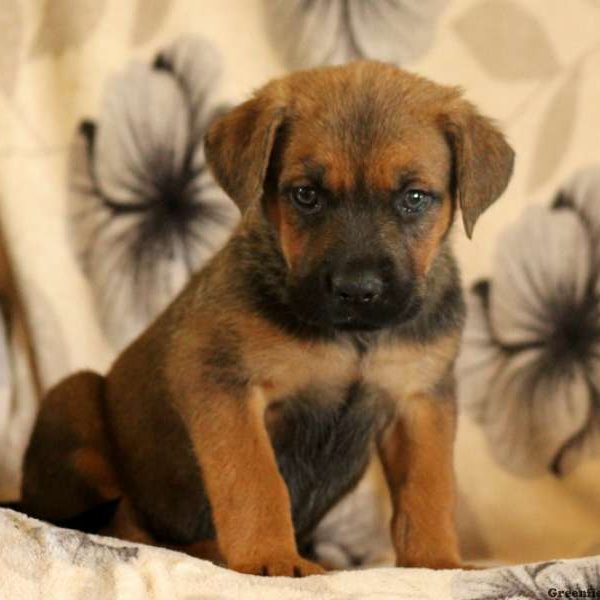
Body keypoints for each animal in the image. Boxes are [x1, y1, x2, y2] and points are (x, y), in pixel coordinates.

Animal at [21, 62, 512, 576]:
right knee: (119, 523)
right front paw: (271, 557)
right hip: (73, 398)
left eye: (415, 198)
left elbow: (429, 490)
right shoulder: (223, 382)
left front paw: (437, 561)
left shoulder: (420, 400)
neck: (353, 339)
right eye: (305, 195)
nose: (357, 290)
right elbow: (255, 480)